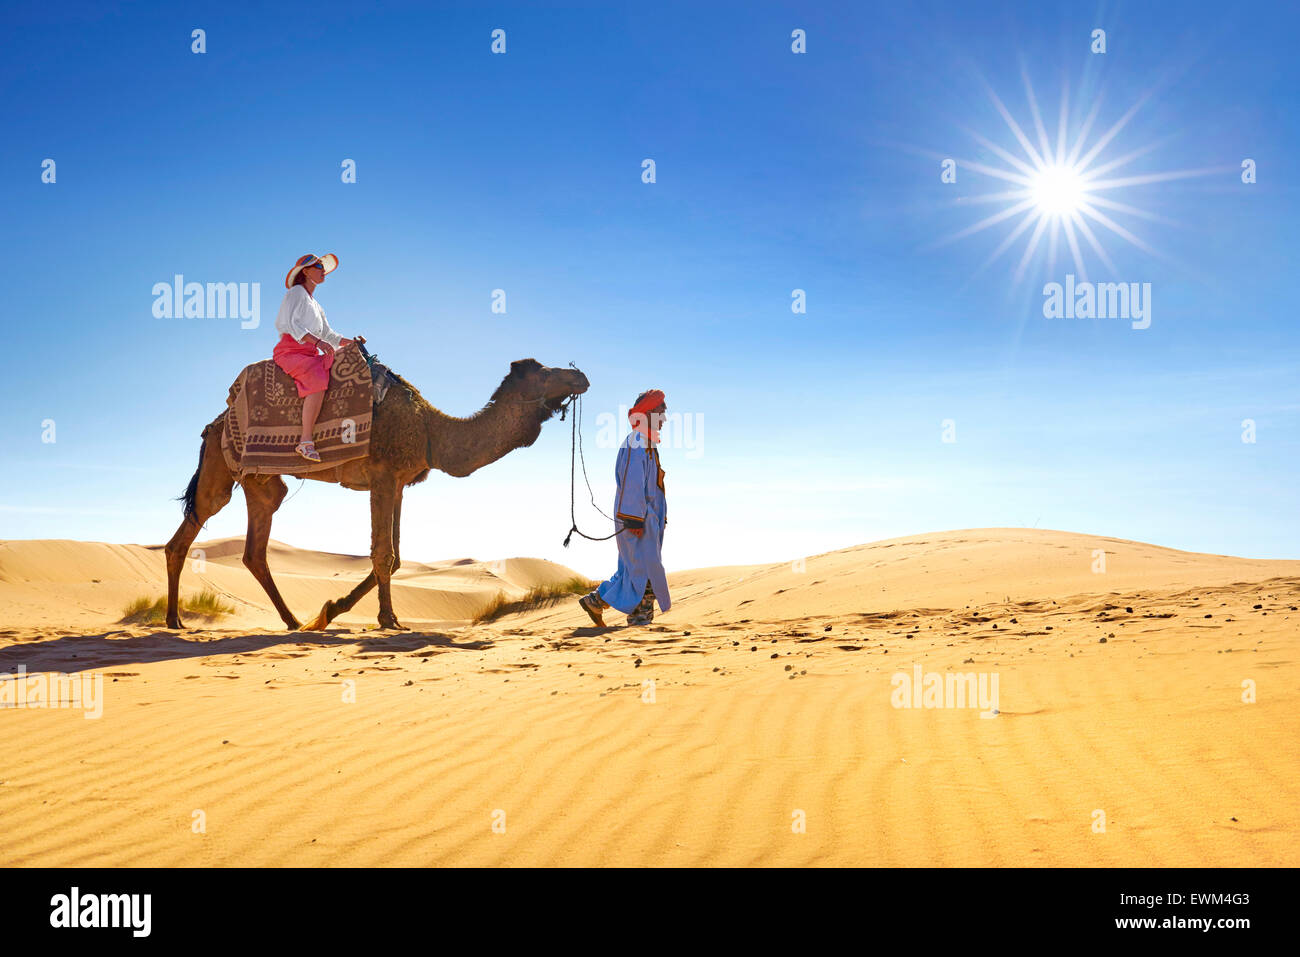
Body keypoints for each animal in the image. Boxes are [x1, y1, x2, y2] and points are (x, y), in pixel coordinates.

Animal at [166, 356, 590, 631]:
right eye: (547, 372)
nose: (581, 375)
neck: (432, 430)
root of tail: (213, 425)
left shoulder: (398, 484)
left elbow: (396, 557)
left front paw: (330, 611)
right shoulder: (383, 476)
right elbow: (383, 553)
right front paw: (388, 620)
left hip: (260, 481)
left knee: (251, 549)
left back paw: (290, 621)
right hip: (224, 467)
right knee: (201, 521)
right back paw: (177, 619)